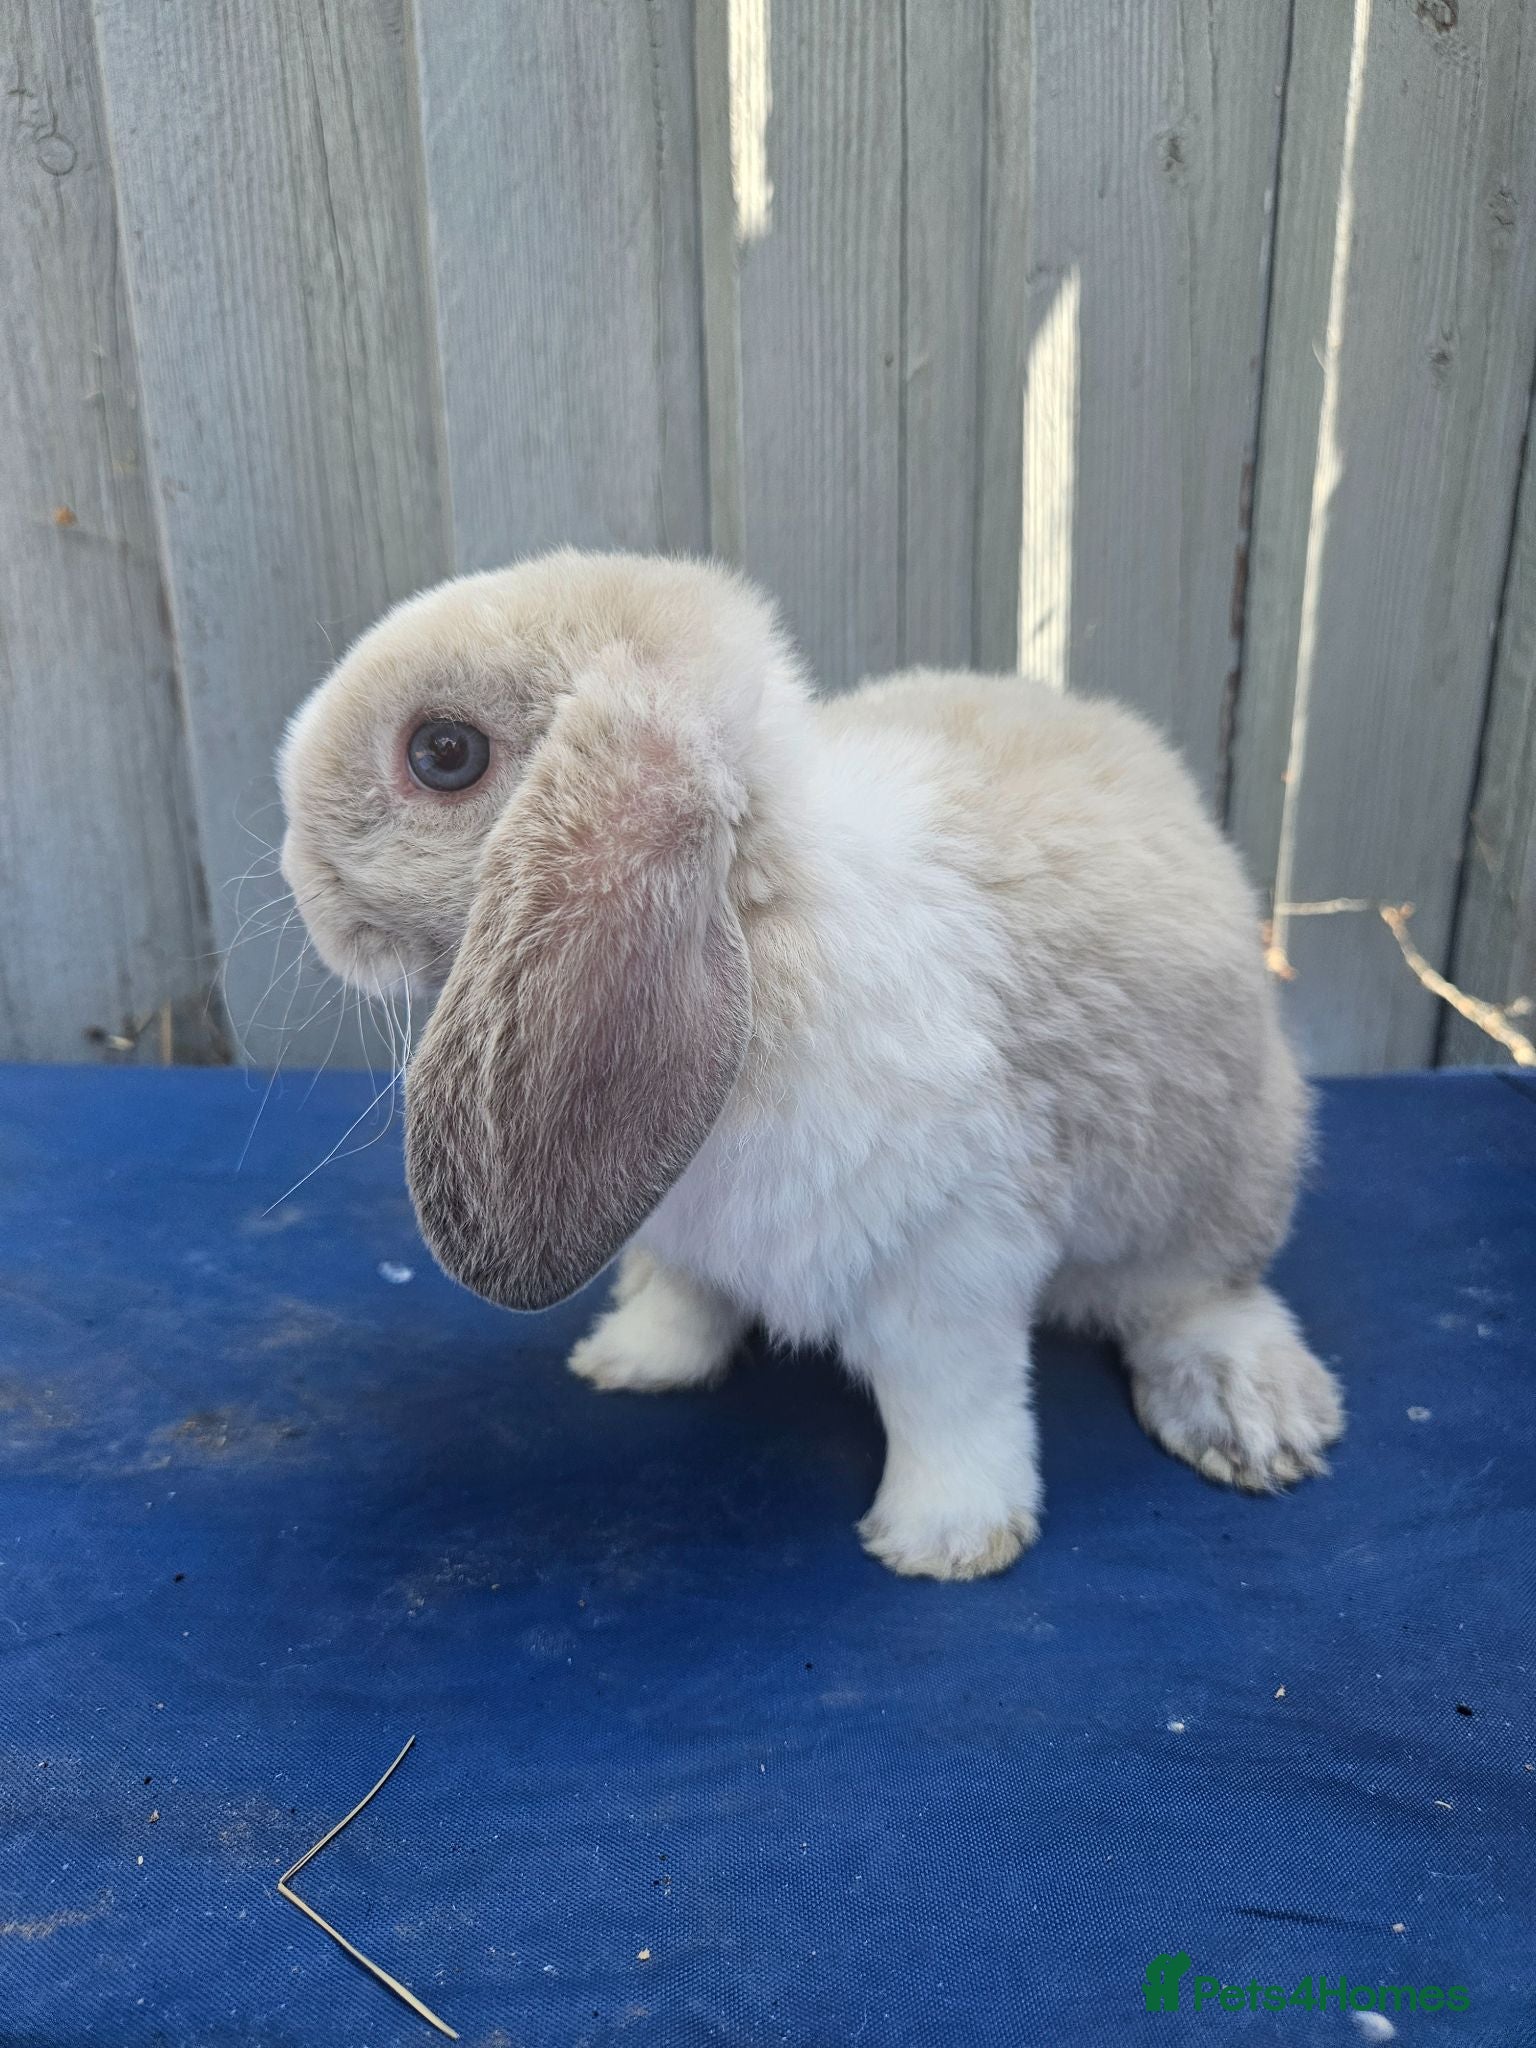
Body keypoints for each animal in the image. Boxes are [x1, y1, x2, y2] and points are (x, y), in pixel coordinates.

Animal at [278, 549, 1343, 1580]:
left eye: (442, 753)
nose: (301, 885)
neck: (759, 913)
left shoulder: (948, 1263)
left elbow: (951, 1404)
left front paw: (945, 1542)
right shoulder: (686, 1231)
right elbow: (687, 1302)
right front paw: (632, 1363)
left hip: (1220, 1183)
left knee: (1195, 1296)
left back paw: (1250, 1414)